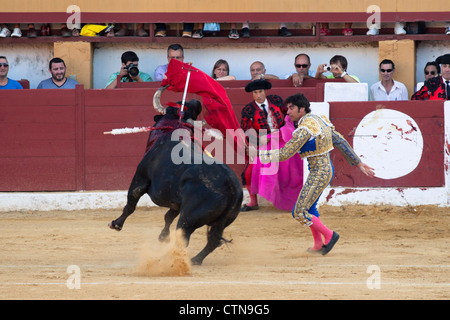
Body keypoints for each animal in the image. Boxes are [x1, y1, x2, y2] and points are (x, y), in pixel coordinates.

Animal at [108, 102, 243, 264]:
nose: (196, 102)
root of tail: (231, 185)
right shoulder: (177, 202)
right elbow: (168, 216)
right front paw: (163, 237)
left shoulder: (139, 180)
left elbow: (130, 205)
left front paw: (116, 224)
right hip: (222, 221)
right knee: (212, 241)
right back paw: (195, 260)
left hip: (189, 218)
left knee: (183, 238)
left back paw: (167, 259)